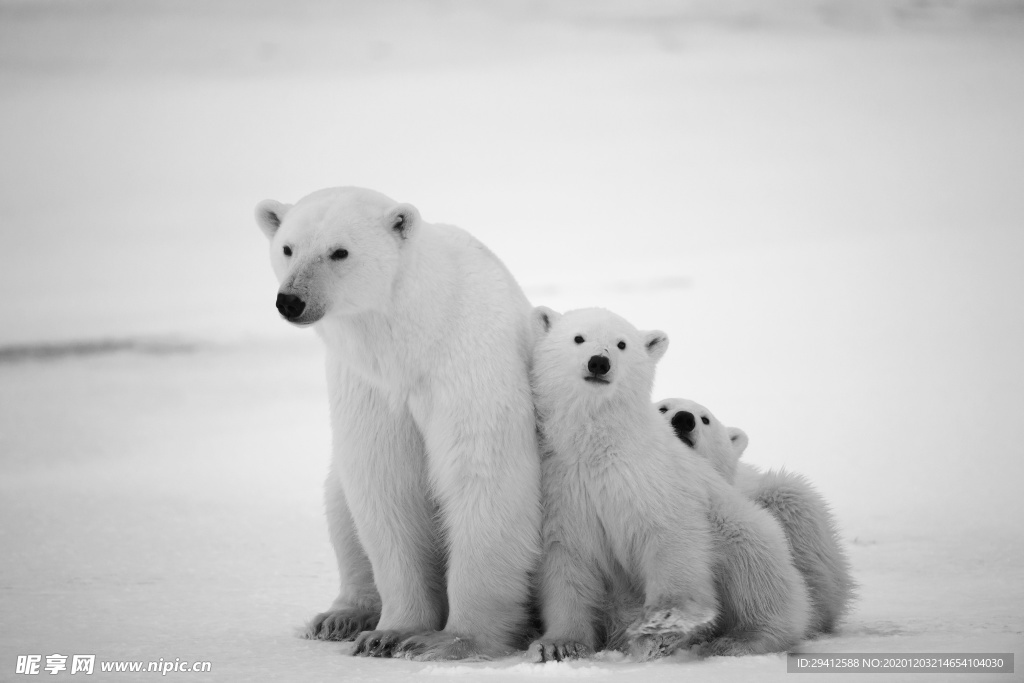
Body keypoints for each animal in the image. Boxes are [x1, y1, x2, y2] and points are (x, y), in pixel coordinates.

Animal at [253, 188, 544, 663]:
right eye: (288, 248)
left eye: (339, 251)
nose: (291, 300)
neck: (413, 337)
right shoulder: (369, 386)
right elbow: (385, 484)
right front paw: (390, 634)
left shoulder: (469, 363)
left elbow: (483, 476)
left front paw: (451, 641)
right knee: (339, 504)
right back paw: (341, 616)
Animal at [528, 309, 806, 663]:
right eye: (579, 338)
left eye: (622, 344)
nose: (599, 363)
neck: (598, 446)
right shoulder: (564, 487)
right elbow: (567, 561)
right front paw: (558, 645)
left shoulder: (652, 477)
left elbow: (670, 538)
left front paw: (660, 631)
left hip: (742, 527)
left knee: (755, 574)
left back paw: (740, 640)